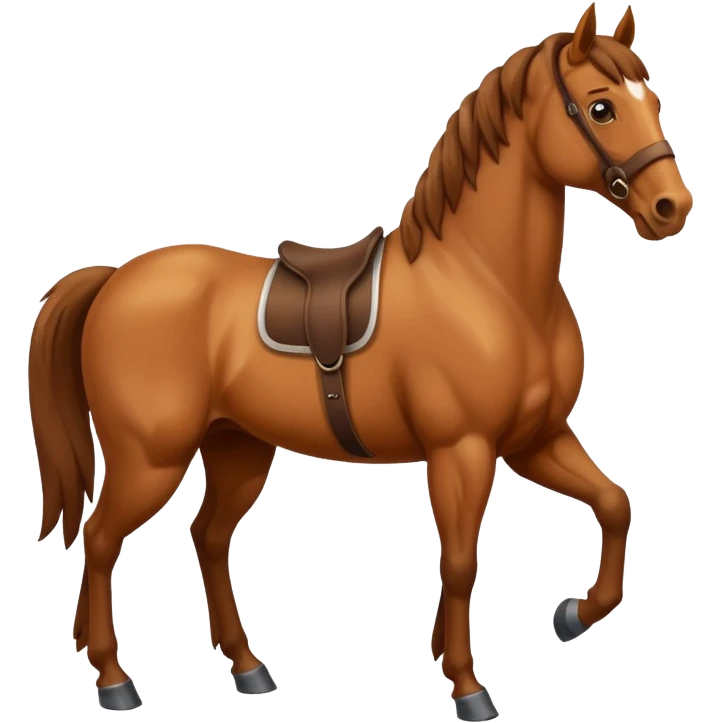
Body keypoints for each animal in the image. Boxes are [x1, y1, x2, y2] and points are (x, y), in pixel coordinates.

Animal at [28, 2, 692, 719]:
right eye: (600, 108)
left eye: (654, 100)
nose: (670, 208)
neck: (487, 282)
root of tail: (113, 281)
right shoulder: (464, 450)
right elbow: (460, 562)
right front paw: (467, 685)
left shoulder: (535, 440)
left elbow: (615, 505)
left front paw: (570, 616)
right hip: (149, 458)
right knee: (101, 541)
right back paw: (113, 677)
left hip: (236, 447)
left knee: (206, 538)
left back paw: (247, 667)